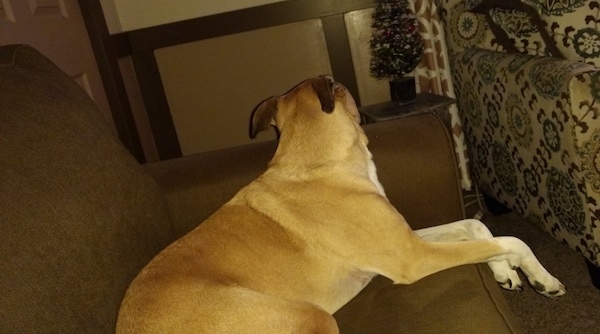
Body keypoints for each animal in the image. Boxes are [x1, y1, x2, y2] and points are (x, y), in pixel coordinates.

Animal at [115, 76, 564, 334]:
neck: (319, 165)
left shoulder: (405, 241)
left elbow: (479, 229)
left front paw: (506, 272)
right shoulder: (414, 257)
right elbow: (510, 239)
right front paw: (541, 276)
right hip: (311, 317)